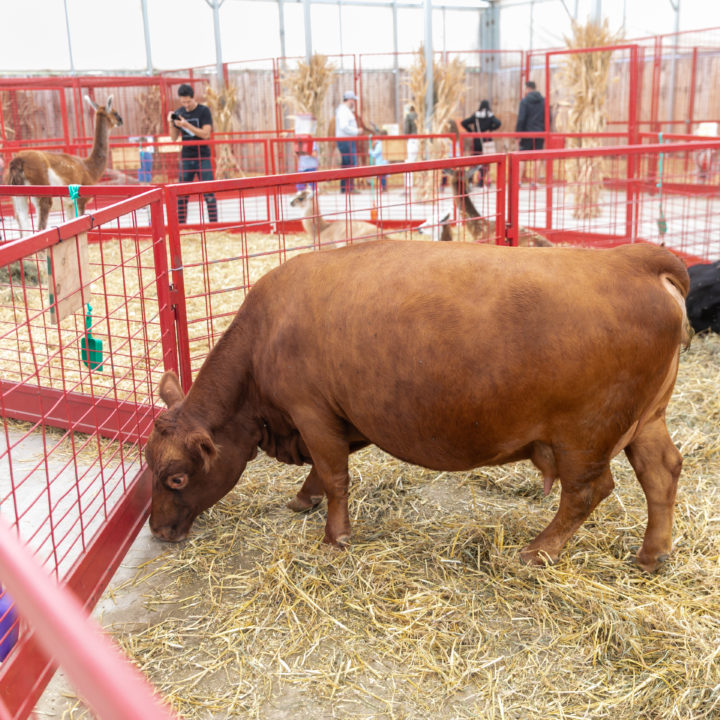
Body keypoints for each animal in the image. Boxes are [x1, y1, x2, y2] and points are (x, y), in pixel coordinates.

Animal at [146, 242, 692, 572]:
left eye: (176, 478)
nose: (157, 529)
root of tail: (633, 259)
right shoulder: (345, 417)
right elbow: (326, 473)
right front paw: (306, 498)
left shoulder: (313, 412)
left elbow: (336, 476)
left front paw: (335, 536)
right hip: (647, 420)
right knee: (661, 472)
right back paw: (651, 554)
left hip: (585, 435)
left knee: (586, 492)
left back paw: (539, 550)